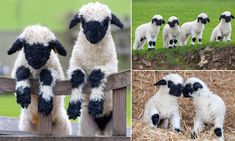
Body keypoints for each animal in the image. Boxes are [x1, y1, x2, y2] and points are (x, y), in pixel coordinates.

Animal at [66, 2, 123, 136]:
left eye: (106, 21)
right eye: (83, 21)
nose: (93, 34)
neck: (92, 59)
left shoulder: (111, 66)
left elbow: (97, 75)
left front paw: (96, 103)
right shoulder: (74, 64)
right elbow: (77, 77)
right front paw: (73, 107)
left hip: (111, 128)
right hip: (86, 126)